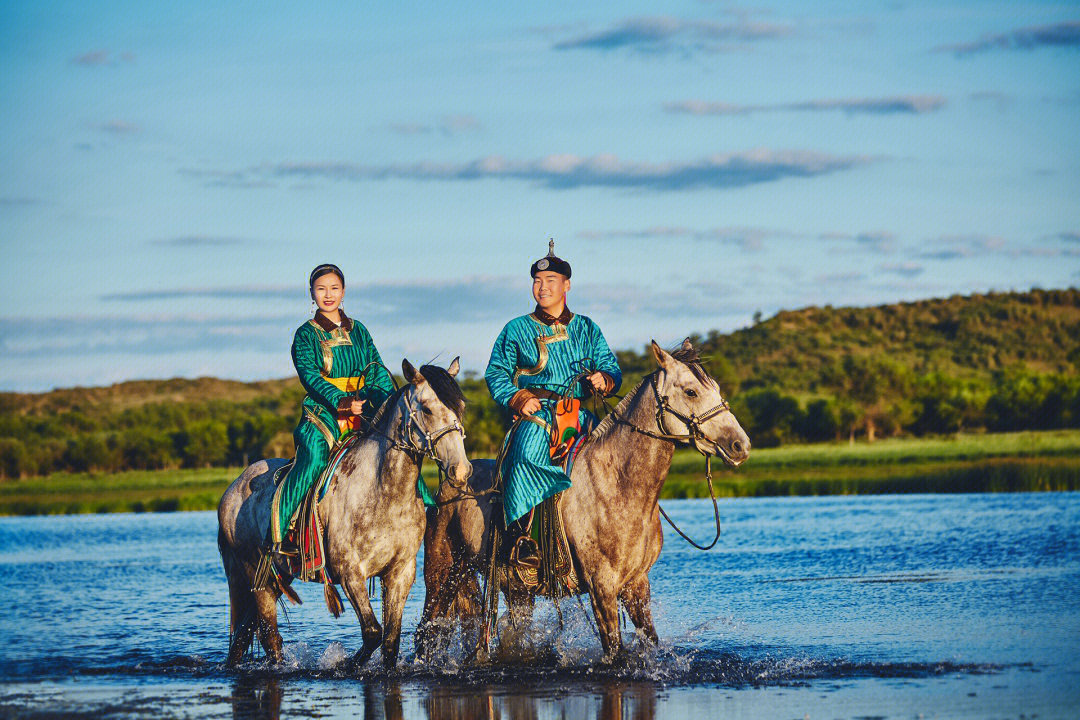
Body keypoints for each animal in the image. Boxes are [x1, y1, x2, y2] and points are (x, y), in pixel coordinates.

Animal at [217, 358, 470, 669]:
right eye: (427, 408)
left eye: (460, 407)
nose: (461, 470)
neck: (383, 491)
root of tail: (232, 490)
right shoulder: (350, 573)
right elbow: (372, 633)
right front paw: (344, 664)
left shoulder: (400, 572)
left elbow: (390, 639)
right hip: (256, 576)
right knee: (270, 639)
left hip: (276, 577)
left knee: (242, 636)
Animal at [419, 341, 751, 660]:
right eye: (691, 391)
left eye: (716, 388)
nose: (741, 445)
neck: (618, 484)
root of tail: (452, 480)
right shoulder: (601, 586)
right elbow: (614, 652)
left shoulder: (637, 584)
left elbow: (650, 642)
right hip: (442, 576)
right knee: (425, 635)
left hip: (517, 590)